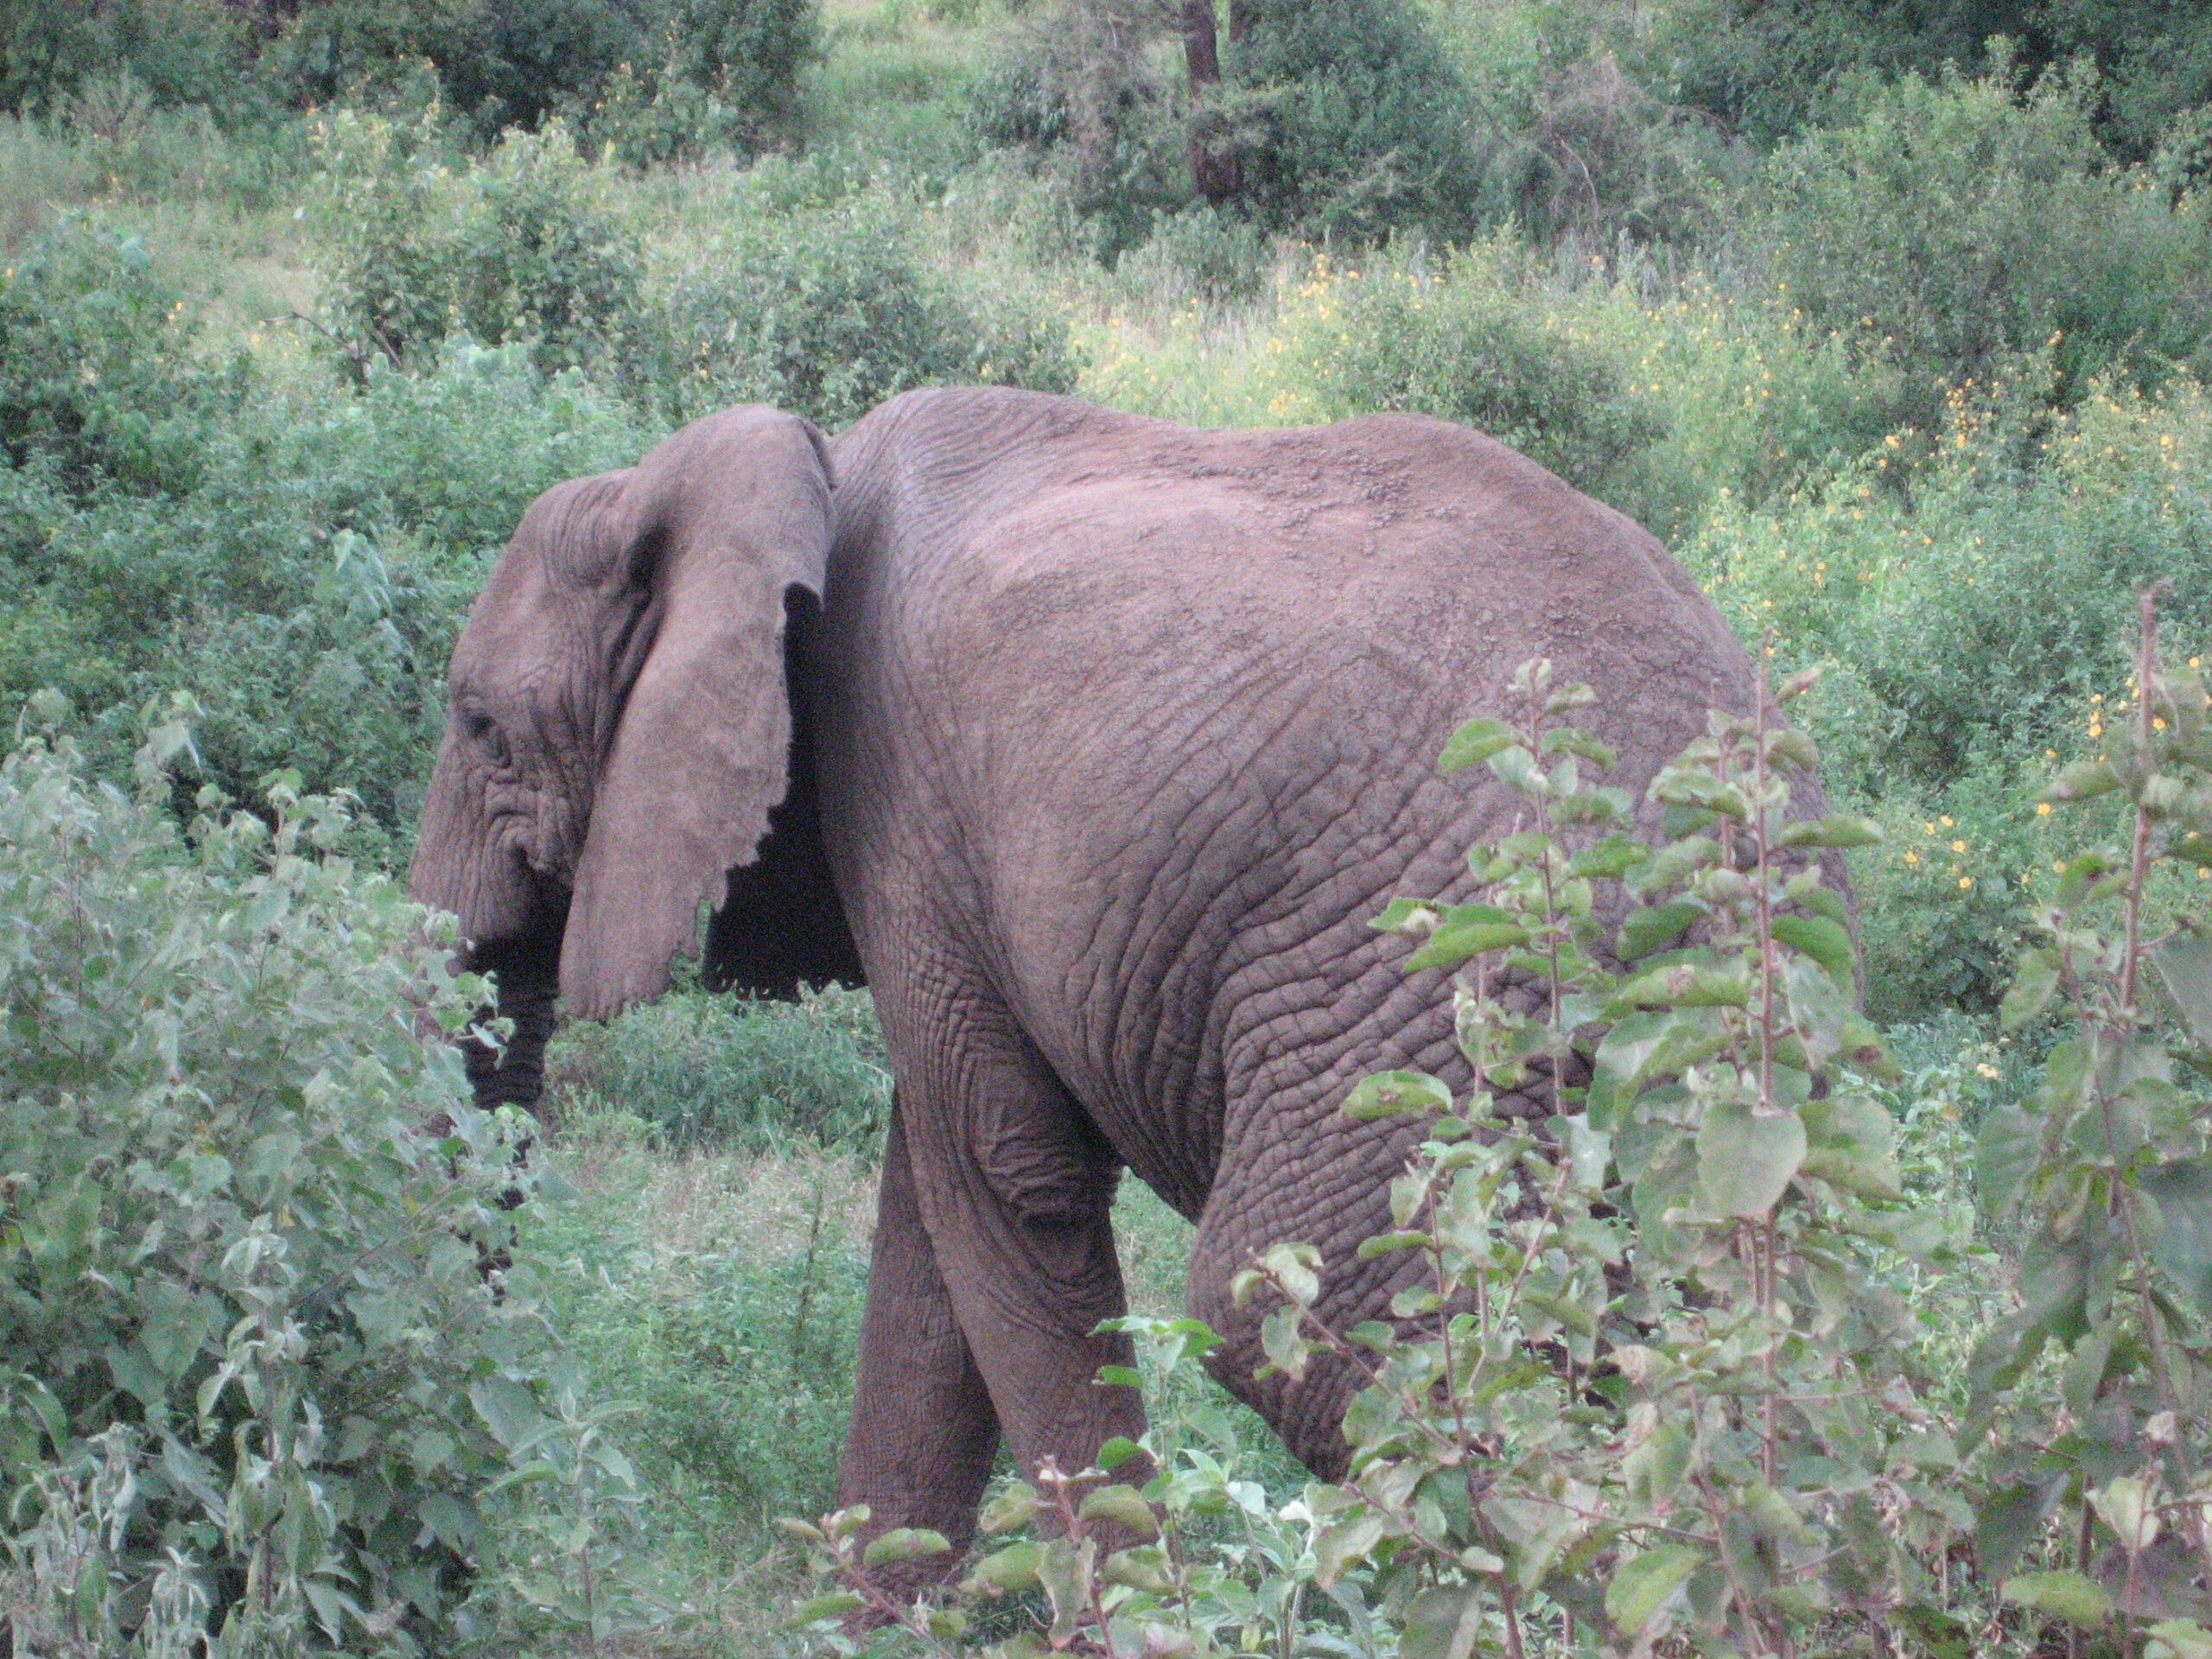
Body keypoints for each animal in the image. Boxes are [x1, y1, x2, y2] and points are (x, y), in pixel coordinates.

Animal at [407, 386, 1811, 1555]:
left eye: (481, 727)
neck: (792, 472)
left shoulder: (895, 785)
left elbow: (1000, 1178)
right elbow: (936, 1221)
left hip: (1447, 1009)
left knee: (1323, 1340)